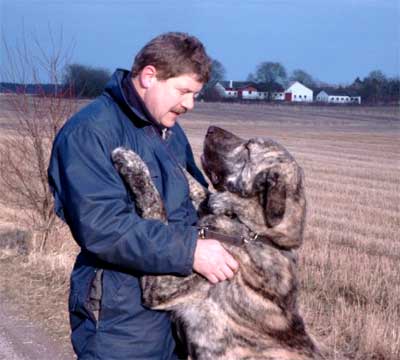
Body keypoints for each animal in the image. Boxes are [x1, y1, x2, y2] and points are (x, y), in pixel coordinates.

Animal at [111, 126, 324, 360]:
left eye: (248, 148)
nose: (211, 129)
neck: (254, 231)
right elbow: (194, 184)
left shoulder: (162, 284)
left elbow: (156, 206)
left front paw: (131, 161)